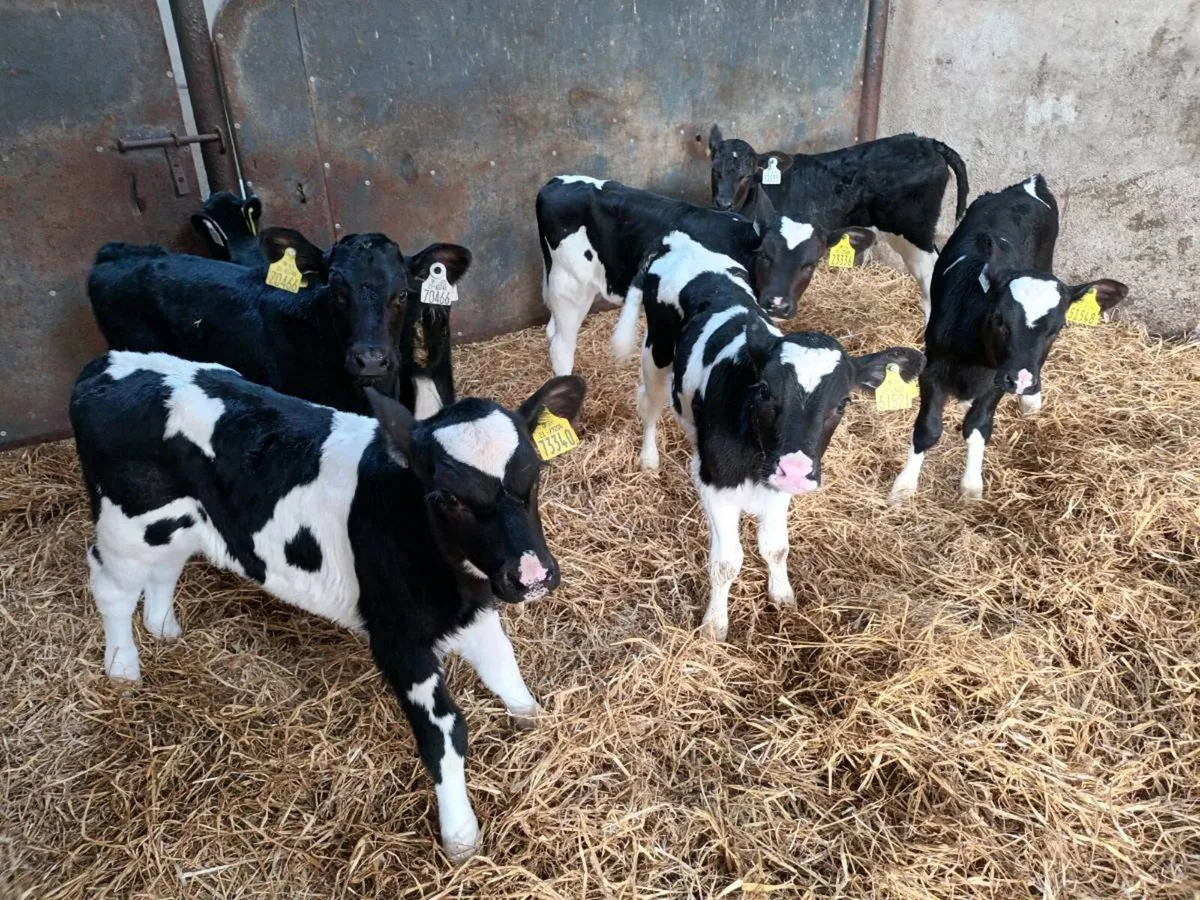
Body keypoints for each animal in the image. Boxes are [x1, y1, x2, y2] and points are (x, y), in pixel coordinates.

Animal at [69, 349, 587, 862]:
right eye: (445, 496)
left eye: (534, 474)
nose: (532, 576)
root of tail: (103, 364)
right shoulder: (398, 641)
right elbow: (444, 733)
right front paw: (459, 836)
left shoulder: (474, 613)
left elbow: (505, 668)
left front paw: (533, 719)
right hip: (125, 526)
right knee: (110, 586)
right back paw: (123, 668)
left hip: (175, 525)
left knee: (165, 567)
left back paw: (163, 628)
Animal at [536, 175, 876, 375]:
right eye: (765, 255)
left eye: (811, 263)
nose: (777, 303)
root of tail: (554, 183)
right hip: (571, 285)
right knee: (561, 346)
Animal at [610, 230, 923, 640]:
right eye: (765, 391)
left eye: (842, 404)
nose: (794, 469)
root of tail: (678, 238)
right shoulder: (717, 484)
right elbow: (727, 562)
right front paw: (715, 624)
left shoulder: (780, 485)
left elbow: (776, 547)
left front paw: (782, 595)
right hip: (656, 355)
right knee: (649, 404)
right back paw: (649, 459)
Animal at [707, 125, 970, 322]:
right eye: (715, 170)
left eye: (745, 175)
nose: (723, 203)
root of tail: (927, 142)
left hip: (913, 229)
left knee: (928, 273)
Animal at [888, 174, 1128, 502]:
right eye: (999, 319)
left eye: (1058, 328)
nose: (1023, 380)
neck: (973, 359)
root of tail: (1027, 184)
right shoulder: (933, 369)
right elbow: (928, 428)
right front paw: (904, 486)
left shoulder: (997, 379)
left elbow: (978, 426)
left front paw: (971, 484)